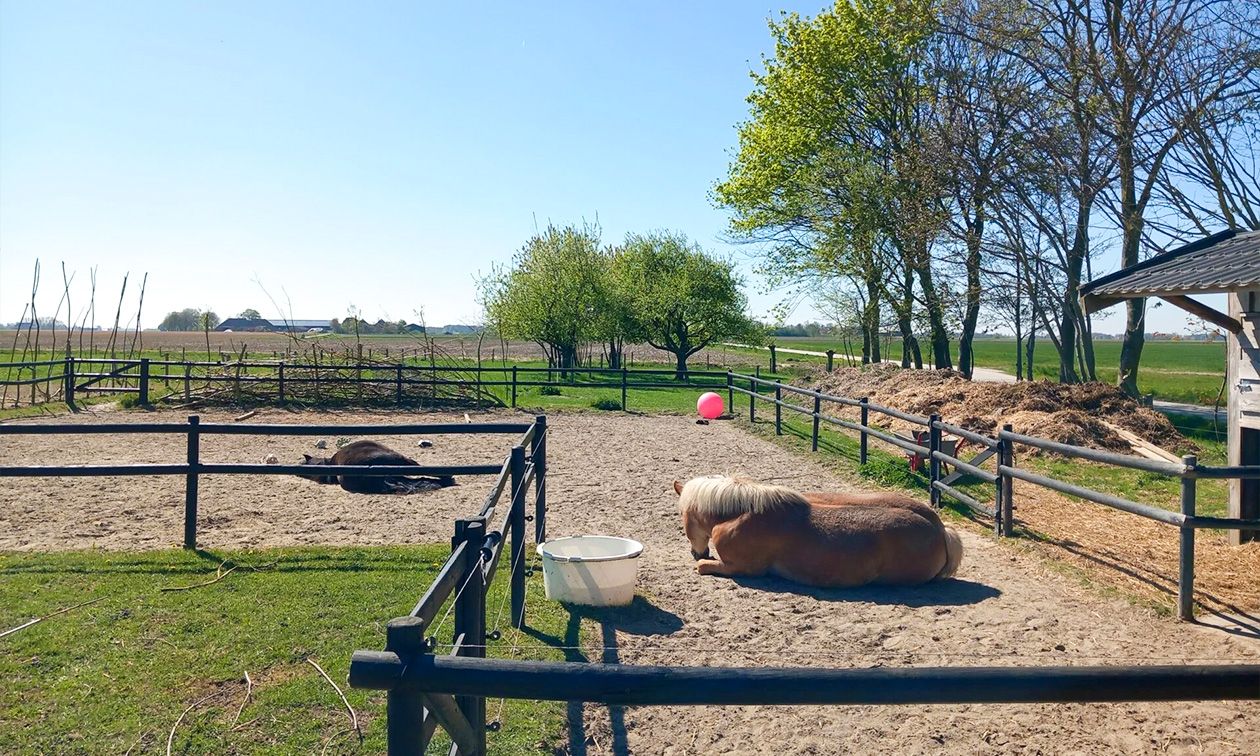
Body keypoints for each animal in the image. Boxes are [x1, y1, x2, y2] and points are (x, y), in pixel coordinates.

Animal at [672, 476, 963, 587]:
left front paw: (701, 563)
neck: (740, 514)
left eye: (683, 517)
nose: (697, 552)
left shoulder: (742, 568)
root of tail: (940, 530)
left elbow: (705, 568)